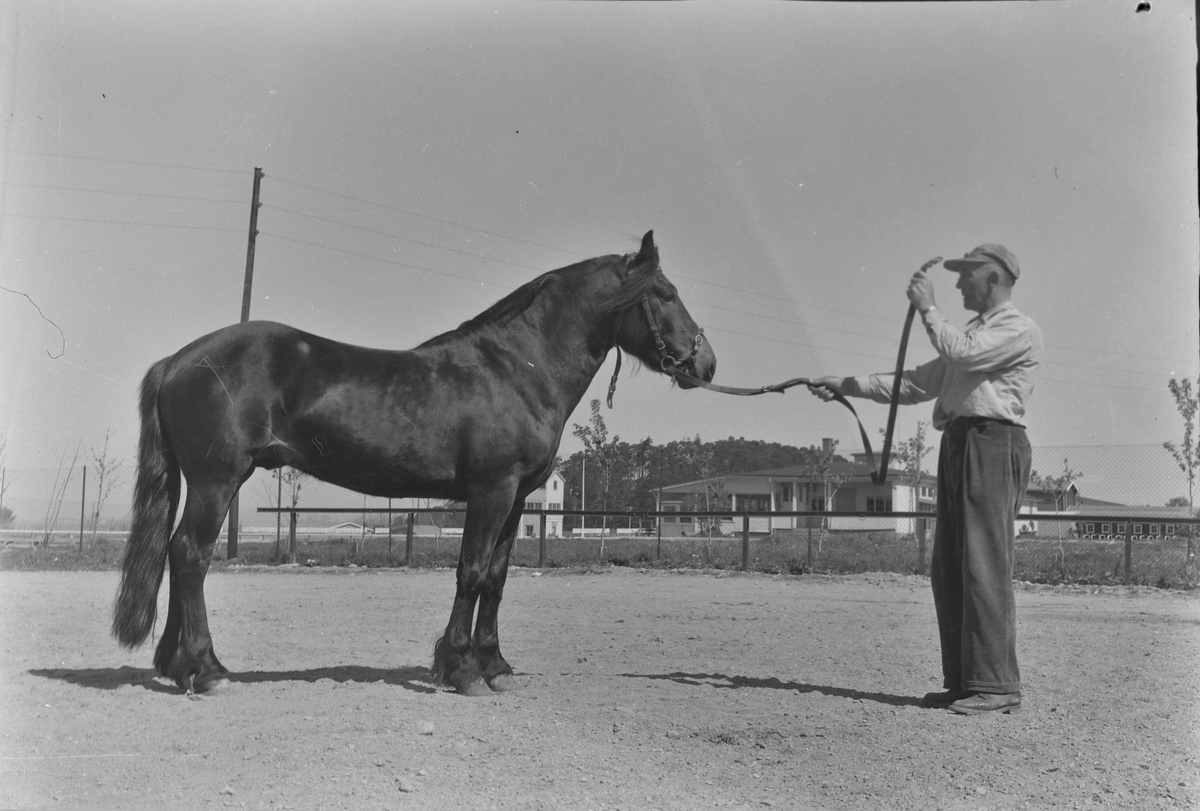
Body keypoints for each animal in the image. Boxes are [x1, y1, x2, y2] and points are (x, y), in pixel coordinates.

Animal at [112, 229, 710, 695]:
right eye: (665, 293)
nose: (706, 363)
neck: (518, 367)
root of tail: (179, 360)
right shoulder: (492, 491)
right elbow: (471, 572)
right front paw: (461, 670)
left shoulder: (518, 498)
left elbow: (496, 578)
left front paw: (495, 666)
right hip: (216, 481)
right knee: (191, 554)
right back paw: (208, 669)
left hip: (204, 483)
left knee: (176, 552)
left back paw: (178, 667)